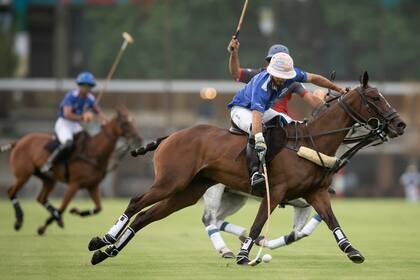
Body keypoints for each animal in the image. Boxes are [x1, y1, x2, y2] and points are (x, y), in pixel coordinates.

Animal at [0, 106, 141, 234]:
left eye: (133, 121)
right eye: (124, 123)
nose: (138, 139)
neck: (93, 152)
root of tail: (18, 142)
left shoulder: (92, 185)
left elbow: (98, 208)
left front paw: (75, 212)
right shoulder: (74, 184)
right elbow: (62, 208)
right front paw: (43, 227)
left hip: (48, 179)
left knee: (41, 198)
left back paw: (56, 219)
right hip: (24, 174)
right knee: (11, 191)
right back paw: (19, 220)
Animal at [87, 73, 406, 266]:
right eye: (374, 98)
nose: (400, 124)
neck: (312, 141)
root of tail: (170, 135)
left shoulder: (315, 193)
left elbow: (331, 221)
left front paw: (352, 250)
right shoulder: (276, 190)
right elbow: (258, 222)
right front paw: (244, 254)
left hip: (187, 192)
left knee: (145, 217)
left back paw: (106, 252)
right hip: (171, 181)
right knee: (137, 202)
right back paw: (103, 240)